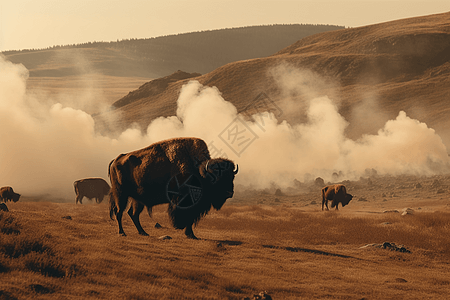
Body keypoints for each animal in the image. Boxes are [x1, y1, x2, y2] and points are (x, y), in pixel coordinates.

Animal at [108, 138, 239, 239]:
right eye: (216, 177)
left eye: (232, 176)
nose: (229, 193)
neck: (199, 171)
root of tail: (115, 160)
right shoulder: (184, 202)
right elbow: (187, 218)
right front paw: (189, 234)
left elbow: (190, 219)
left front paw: (191, 234)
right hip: (121, 194)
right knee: (119, 212)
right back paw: (122, 233)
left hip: (137, 199)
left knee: (133, 214)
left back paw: (143, 232)